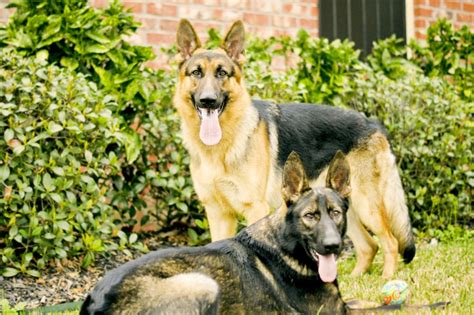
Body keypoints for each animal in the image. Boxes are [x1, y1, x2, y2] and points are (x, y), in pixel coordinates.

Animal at [79, 152, 350, 314]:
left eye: (335, 213)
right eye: (310, 216)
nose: (333, 245)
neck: (285, 244)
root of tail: (94, 303)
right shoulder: (336, 311)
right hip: (203, 284)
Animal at [173, 19, 414, 278]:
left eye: (222, 73)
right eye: (196, 73)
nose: (208, 100)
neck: (221, 147)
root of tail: (374, 123)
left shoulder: (255, 209)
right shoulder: (218, 212)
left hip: (365, 204)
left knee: (390, 242)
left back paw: (387, 278)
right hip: (343, 207)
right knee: (369, 246)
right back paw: (355, 279)